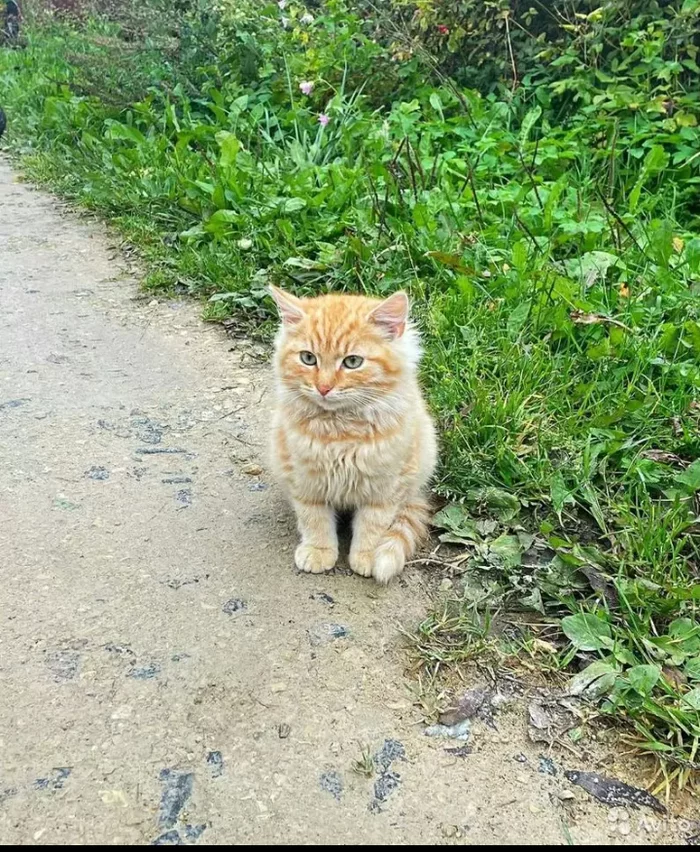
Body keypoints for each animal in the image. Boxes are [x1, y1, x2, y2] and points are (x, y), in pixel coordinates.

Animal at [270, 288, 434, 584]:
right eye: (308, 358)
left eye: (352, 362)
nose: (323, 388)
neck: (340, 431)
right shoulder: (305, 480)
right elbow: (314, 520)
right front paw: (319, 551)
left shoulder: (384, 488)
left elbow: (372, 526)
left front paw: (367, 556)